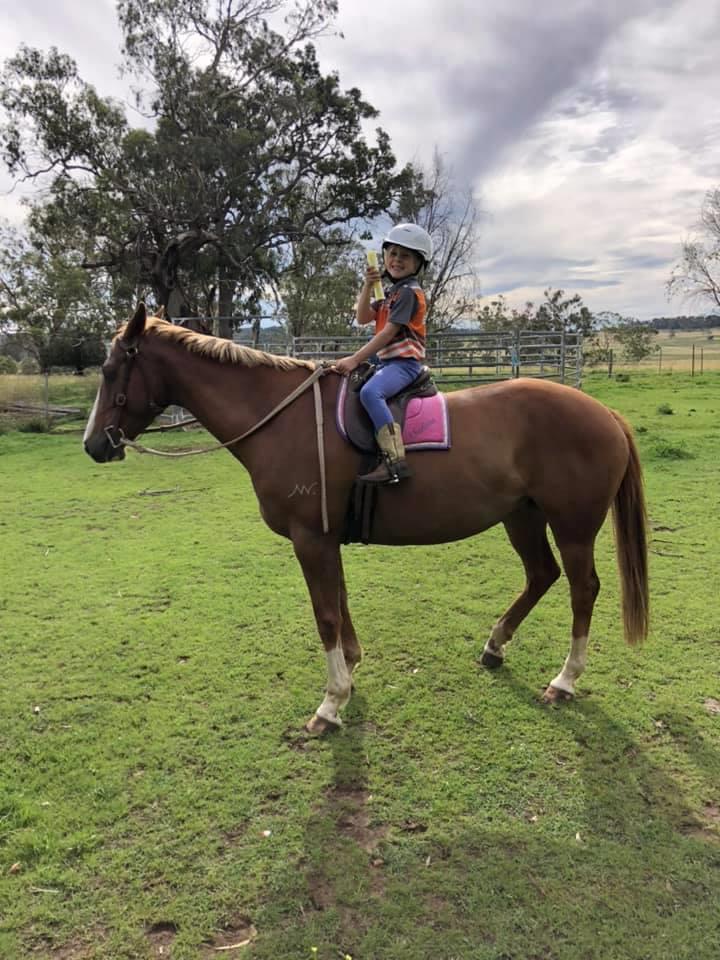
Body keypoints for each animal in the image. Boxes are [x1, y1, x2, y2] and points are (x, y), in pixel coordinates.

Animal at [83, 304, 649, 735]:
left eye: (111, 372)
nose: (93, 446)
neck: (282, 418)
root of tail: (603, 413)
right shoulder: (326, 537)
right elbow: (340, 601)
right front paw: (351, 670)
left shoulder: (310, 538)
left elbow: (325, 615)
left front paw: (331, 702)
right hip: (522, 517)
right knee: (541, 575)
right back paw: (494, 646)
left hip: (572, 526)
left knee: (583, 588)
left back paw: (565, 680)